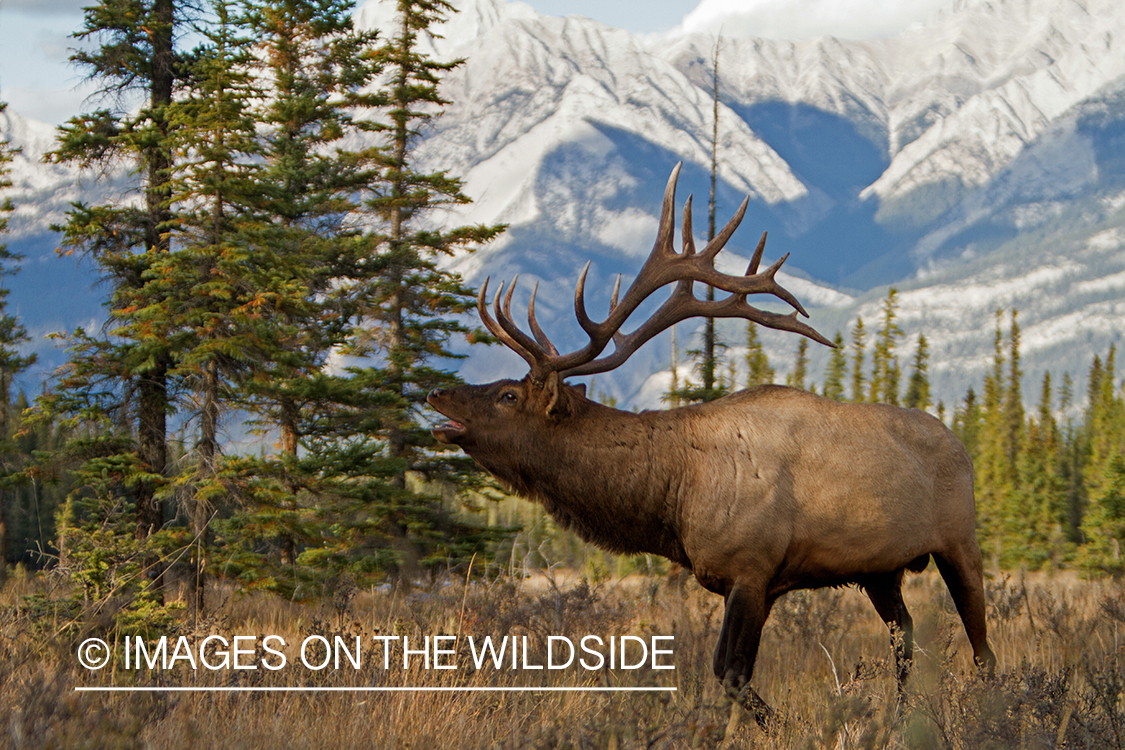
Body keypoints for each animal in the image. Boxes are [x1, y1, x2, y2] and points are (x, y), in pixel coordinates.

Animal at [425, 165, 999, 719]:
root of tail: (961, 443)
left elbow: (730, 673)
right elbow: (728, 672)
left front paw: (785, 724)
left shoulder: (751, 569)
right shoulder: (747, 581)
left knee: (982, 650)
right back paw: (901, 717)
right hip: (880, 570)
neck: (673, 497)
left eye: (507, 395)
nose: (437, 392)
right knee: (905, 639)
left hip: (958, 542)